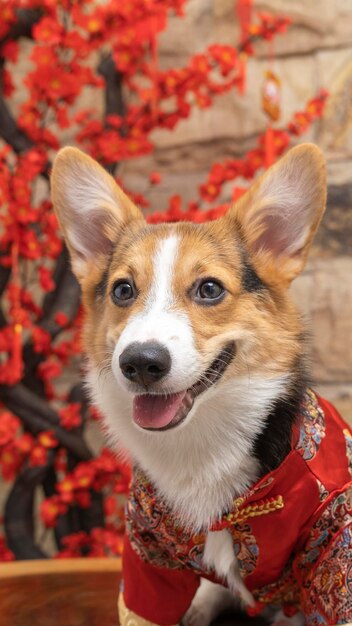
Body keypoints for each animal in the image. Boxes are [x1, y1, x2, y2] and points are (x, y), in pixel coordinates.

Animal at [51, 141, 352, 624]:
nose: (140, 363)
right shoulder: (146, 551)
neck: (201, 438)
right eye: (122, 290)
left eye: (209, 289)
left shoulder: (333, 531)